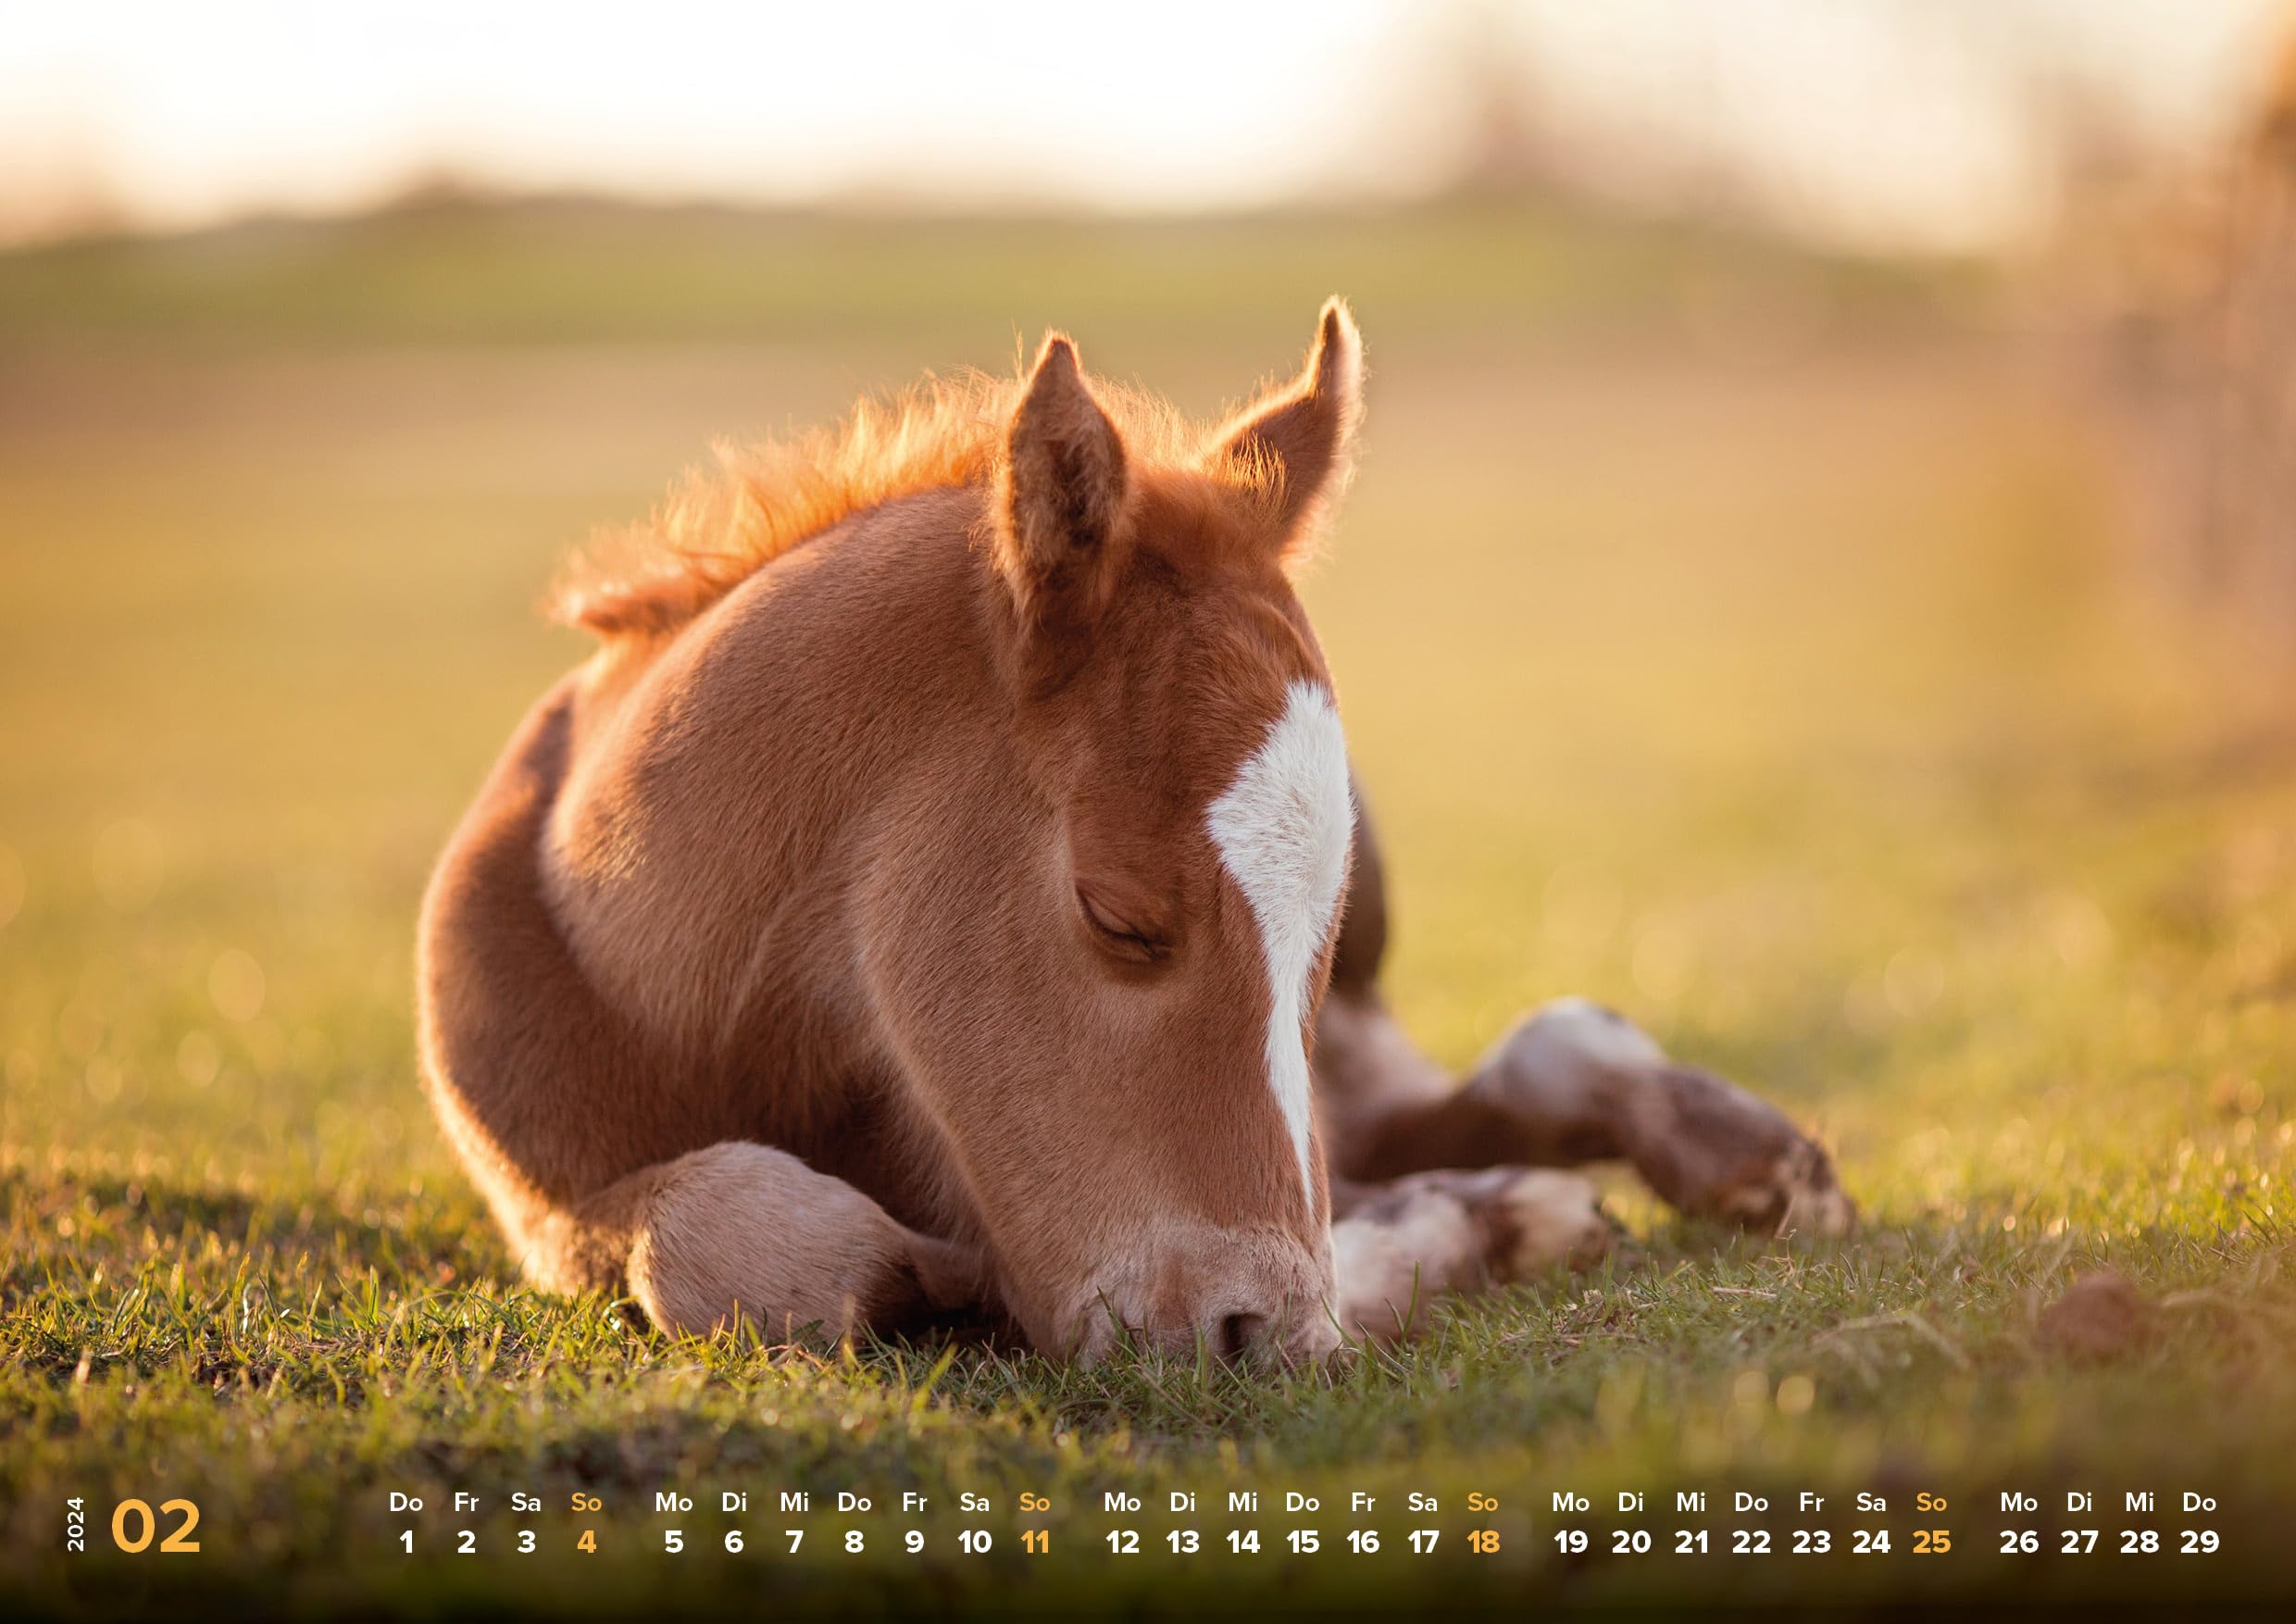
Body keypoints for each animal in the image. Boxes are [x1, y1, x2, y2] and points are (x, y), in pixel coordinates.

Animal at [416, 301, 1852, 1363]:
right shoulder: (545, 1202)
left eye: (1320, 929)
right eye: (1117, 914)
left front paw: (1441, 1238)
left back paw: (1732, 1161)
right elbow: (759, 1239)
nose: (1260, 1336)